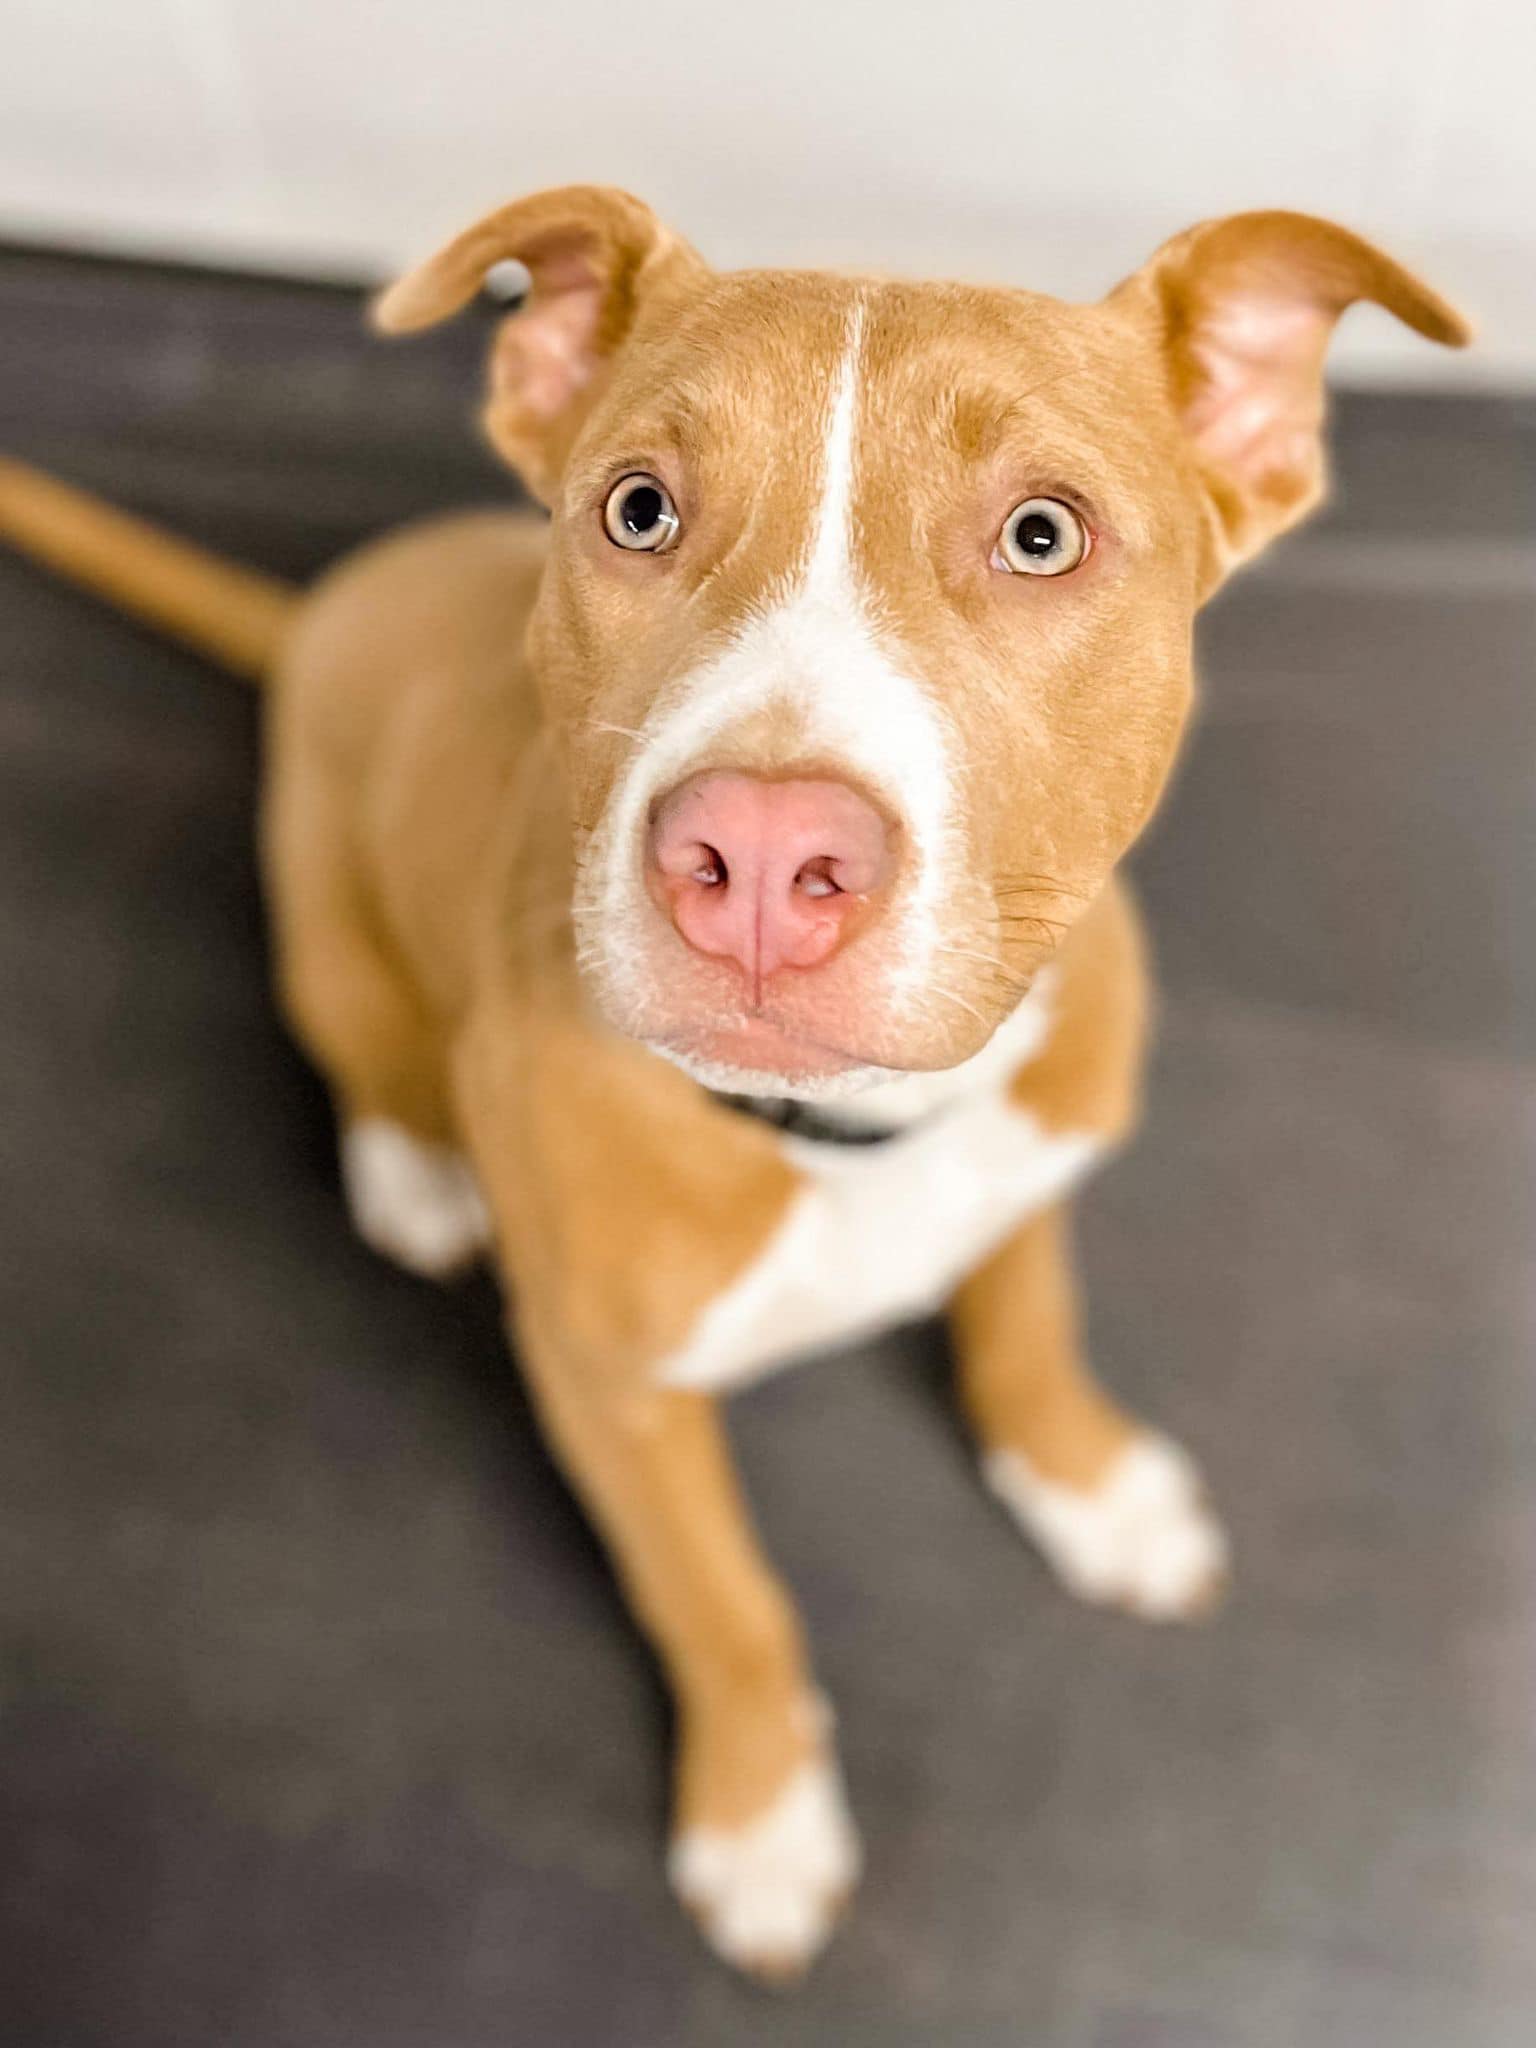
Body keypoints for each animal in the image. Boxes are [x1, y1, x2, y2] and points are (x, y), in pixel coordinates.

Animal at [0, 184, 1466, 1974]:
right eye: (638, 509)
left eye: (1043, 535)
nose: (762, 858)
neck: (853, 1144)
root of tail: (326, 603)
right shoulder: (611, 1395)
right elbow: (722, 1602)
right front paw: (762, 1818)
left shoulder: (1030, 1167)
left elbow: (1028, 1329)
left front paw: (1094, 1490)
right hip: (318, 911)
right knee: (365, 1046)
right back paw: (417, 1172)